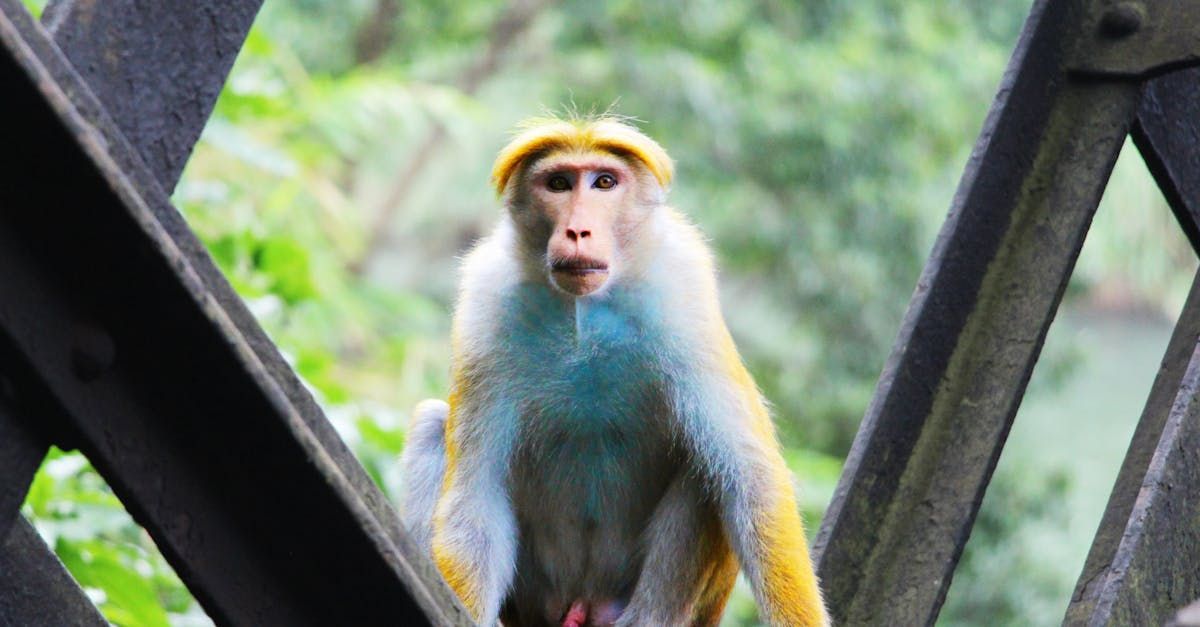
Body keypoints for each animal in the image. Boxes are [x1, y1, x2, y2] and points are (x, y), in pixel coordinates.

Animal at [400, 115, 829, 627]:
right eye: (559, 184)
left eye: (604, 182)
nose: (578, 231)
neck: (583, 312)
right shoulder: (485, 309)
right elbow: (474, 501)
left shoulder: (684, 293)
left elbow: (751, 478)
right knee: (432, 425)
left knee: (707, 465)